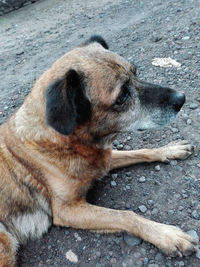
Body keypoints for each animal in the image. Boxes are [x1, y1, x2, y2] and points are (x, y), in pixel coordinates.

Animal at [0, 35, 197, 266]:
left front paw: (169, 149)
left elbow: (141, 150)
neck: (67, 142)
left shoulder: (104, 159)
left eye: (136, 73)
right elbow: (125, 215)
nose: (181, 98)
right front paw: (167, 235)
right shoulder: (67, 211)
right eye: (122, 96)